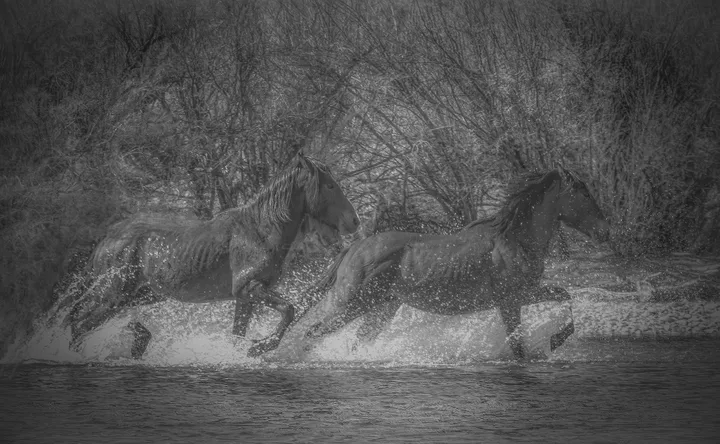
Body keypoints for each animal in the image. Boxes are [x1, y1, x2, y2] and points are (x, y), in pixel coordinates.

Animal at [60, 153, 360, 358]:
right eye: (330, 186)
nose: (354, 222)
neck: (260, 230)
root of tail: (108, 238)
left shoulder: (245, 296)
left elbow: (238, 332)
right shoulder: (250, 288)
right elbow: (289, 309)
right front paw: (260, 347)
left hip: (138, 295)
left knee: (95, 324)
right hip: (112, 293)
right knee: (80, 323)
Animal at [274, 167, 610, 360]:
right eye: (582, 193)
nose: (605, 232)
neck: (513, 239)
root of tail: (355, 247)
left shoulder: (524, 295)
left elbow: (565, 296)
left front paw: (555, 341)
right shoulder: (511, 299)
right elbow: (520, 346)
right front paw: (552, 341)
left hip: (381, 308)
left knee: (357, 342)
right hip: (350, 302)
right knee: (313, 333)